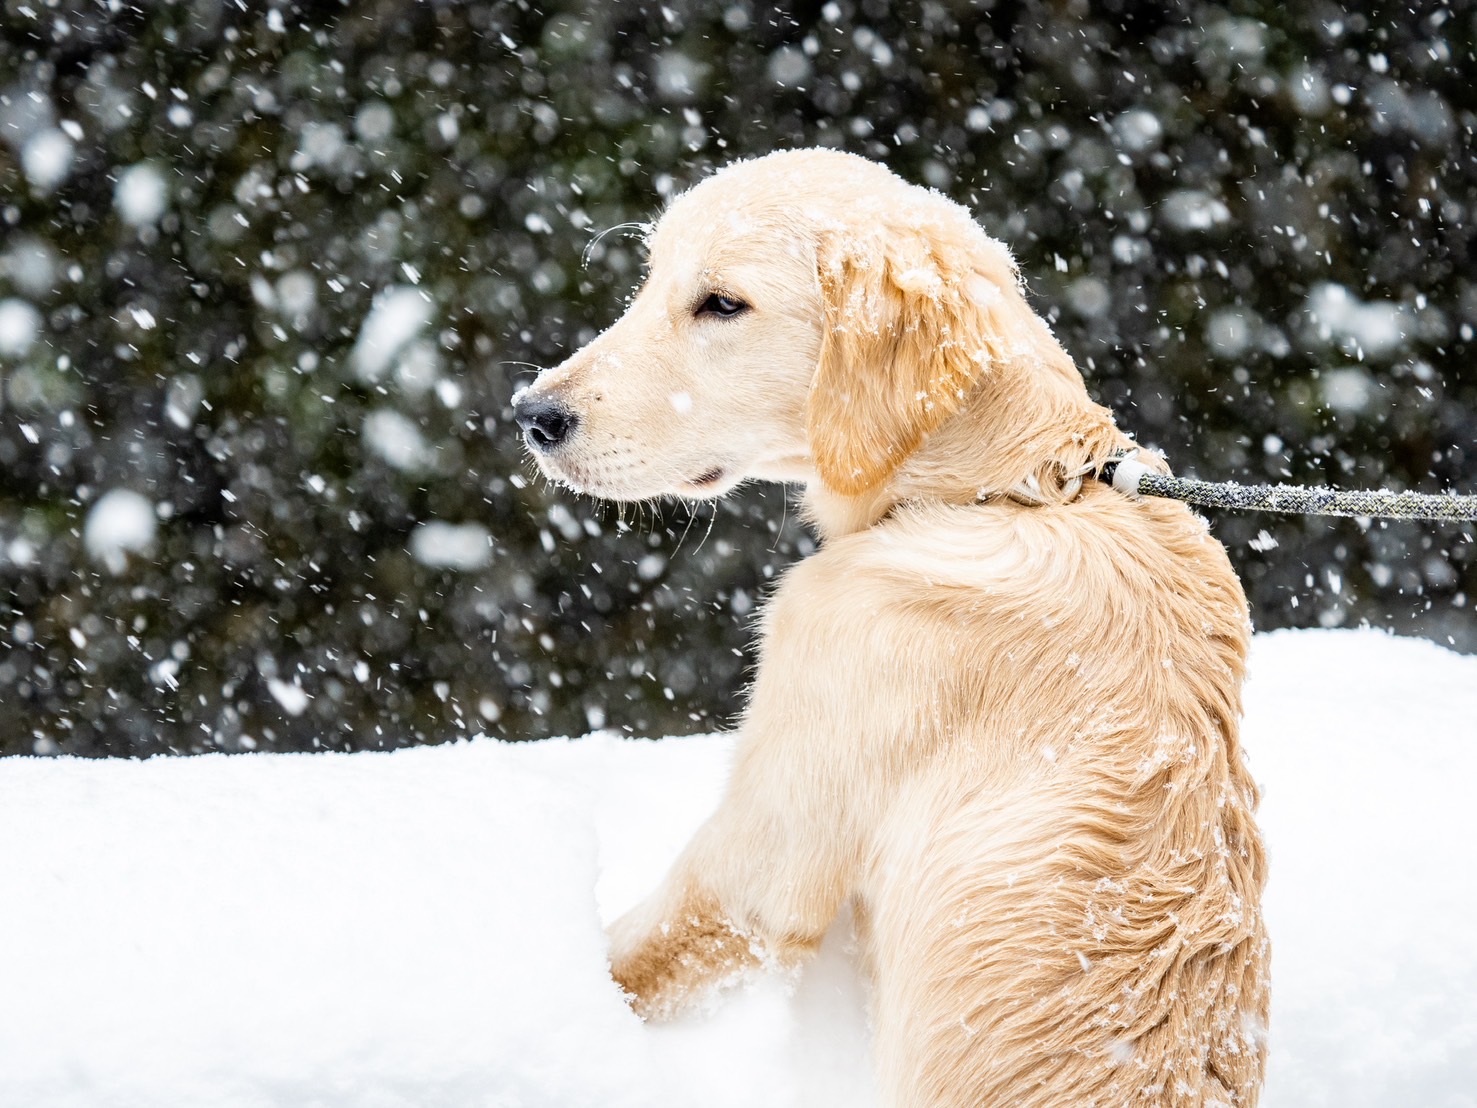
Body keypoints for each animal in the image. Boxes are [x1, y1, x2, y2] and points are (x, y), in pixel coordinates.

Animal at [513, 149, 1264, 1108]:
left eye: (720, 303)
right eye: (651, 283)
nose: (532, 414)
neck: (1013, 489)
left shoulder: (771, 837)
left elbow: (642, 947)